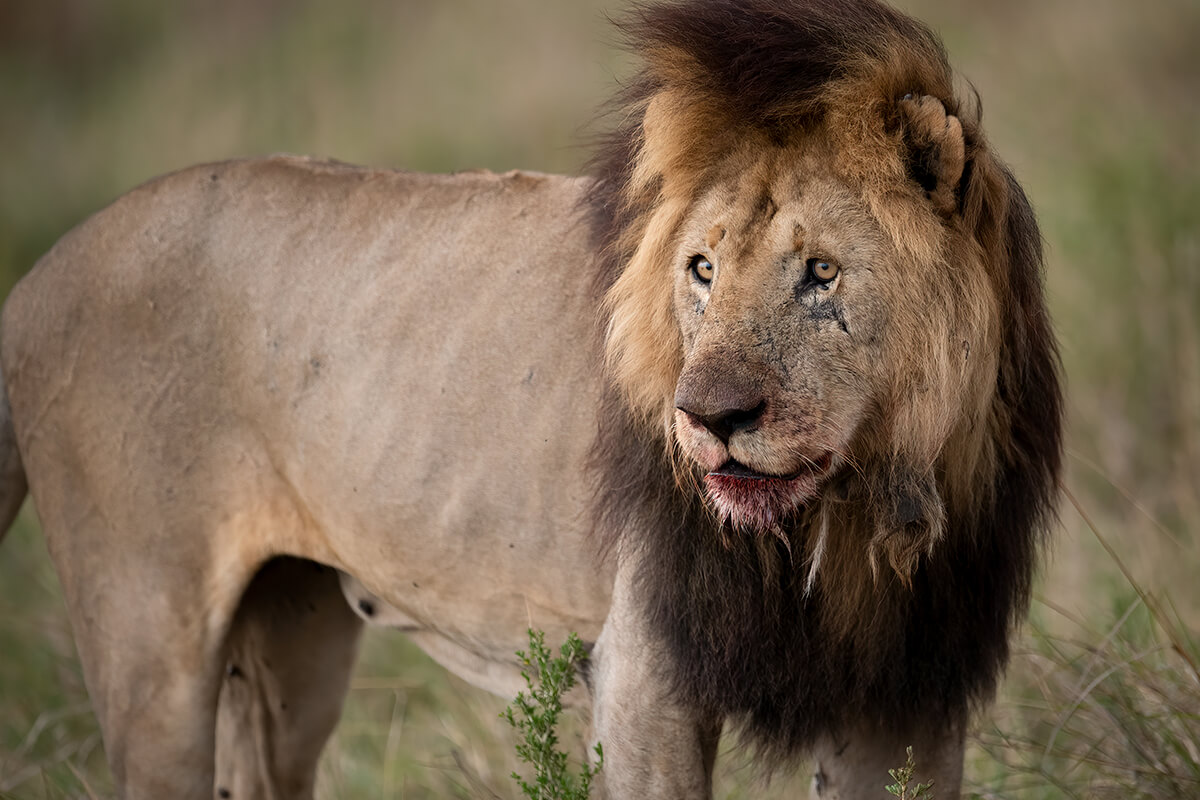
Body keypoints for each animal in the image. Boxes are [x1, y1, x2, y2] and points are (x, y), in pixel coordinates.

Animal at [0, 0, 1060, 796]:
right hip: (150, 646)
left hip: (289, 640)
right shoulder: (644, 674)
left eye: (823, 274)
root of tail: (37, 275)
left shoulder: (909, 695)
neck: (864, 512)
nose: (708, 419)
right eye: (703, 270)